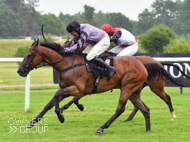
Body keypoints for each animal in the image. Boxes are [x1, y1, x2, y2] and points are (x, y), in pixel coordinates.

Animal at [17, 38, 171, 133]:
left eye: (29, 54)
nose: (20, 71)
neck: (67, 64)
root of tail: (143, 65)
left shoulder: (78, 89)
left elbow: (58, 96)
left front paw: (61, 115)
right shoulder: (68, 88)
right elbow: (49, 103)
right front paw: (32, 122)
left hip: (131, 87)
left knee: (121, 108)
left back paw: (102, 127)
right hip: (133, 91)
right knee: (145, 109)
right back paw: (147, 129)